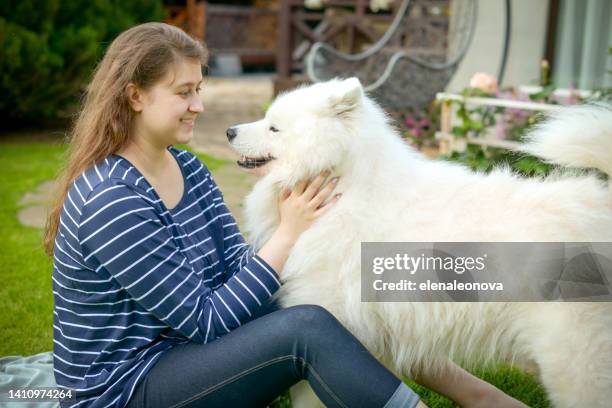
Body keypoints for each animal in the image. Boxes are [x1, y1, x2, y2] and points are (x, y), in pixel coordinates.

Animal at [228, 77, 612, 408]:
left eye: (274, 127)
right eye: (267, 119)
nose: (230, 131)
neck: (343, 187)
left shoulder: (330, 318)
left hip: (573, 359)